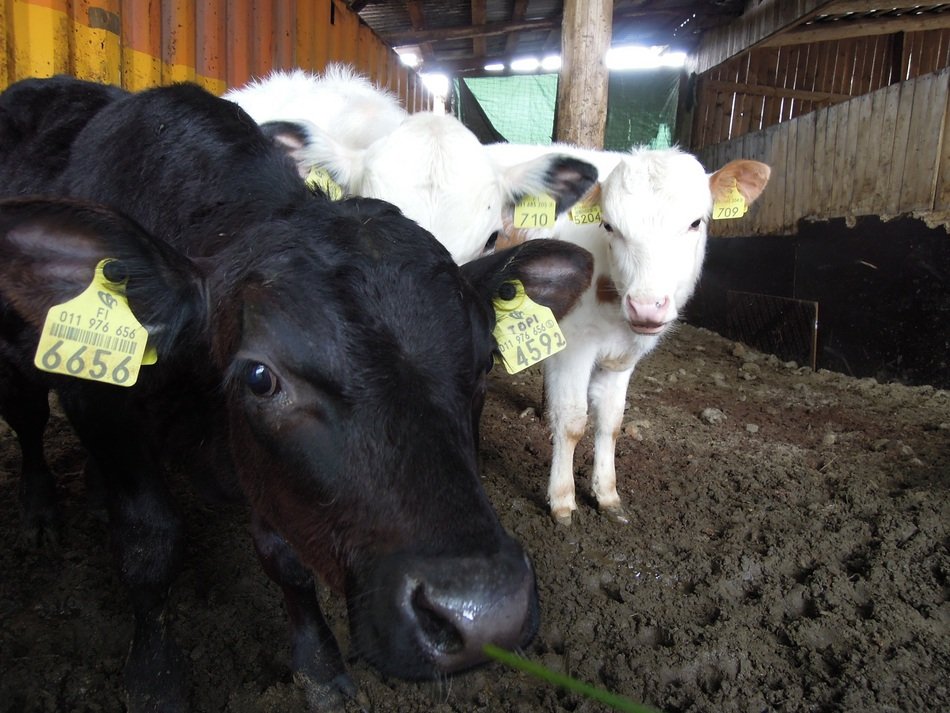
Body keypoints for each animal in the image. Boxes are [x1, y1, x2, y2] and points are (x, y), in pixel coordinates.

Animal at [486, 142, 770, 526]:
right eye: (609, 225)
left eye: (696, 222)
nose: (647, 306)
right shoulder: (572, 345)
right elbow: (572, 421)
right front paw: (562, 500)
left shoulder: (623, 356)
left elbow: (611, 420)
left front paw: (606, 494)